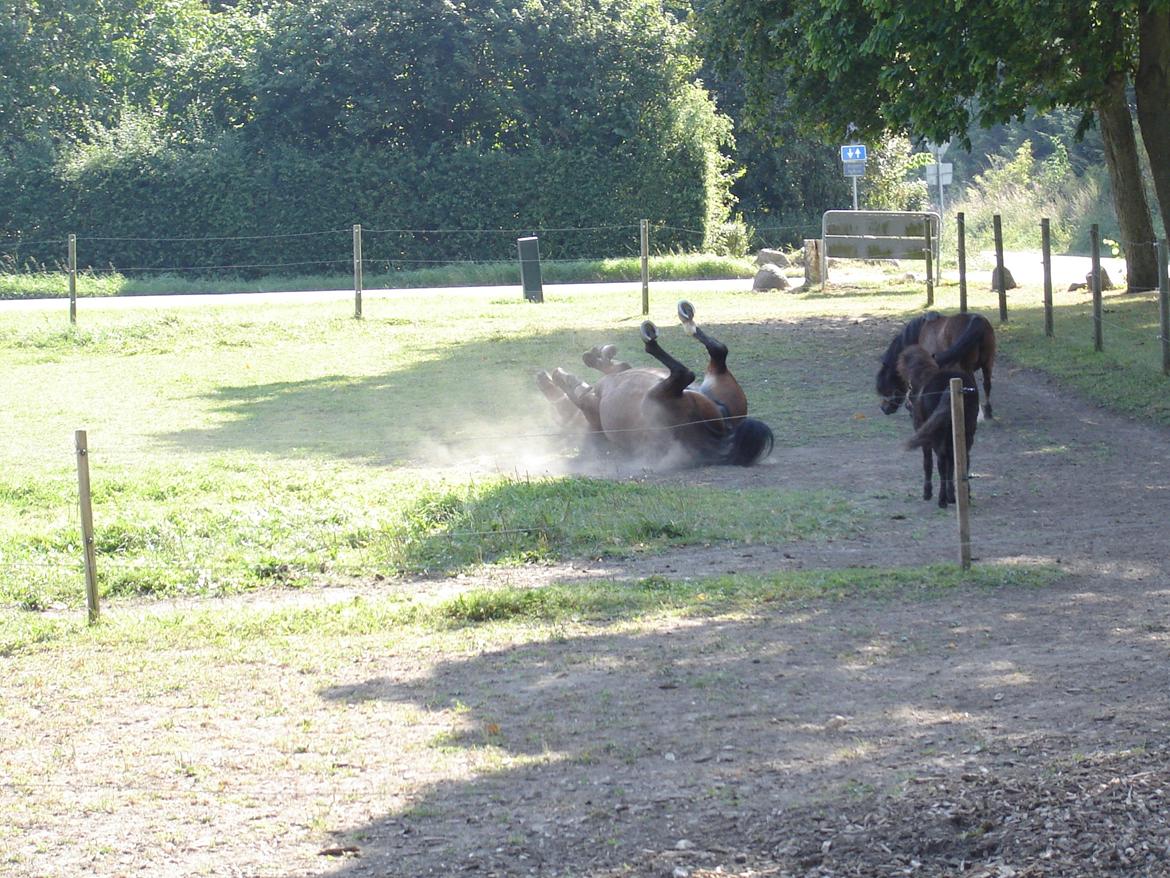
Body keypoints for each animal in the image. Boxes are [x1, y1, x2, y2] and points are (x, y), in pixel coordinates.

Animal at [538, 302, 776, 468]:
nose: (551, 374)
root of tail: (722, 436)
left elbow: (615, 367)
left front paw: (596, 357)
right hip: (681, 391)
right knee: (704, 361)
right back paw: (671, 328)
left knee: (695, 366)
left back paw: (670, 327)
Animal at [893, 344, 978, 508]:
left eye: (910, 386)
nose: (907, 404)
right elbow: (952, 465)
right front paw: (953, 495)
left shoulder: (925, 438)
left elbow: (928, 463)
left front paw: (928, 493)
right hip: (967, 433)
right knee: (963, 460)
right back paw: (965, 495)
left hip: (939, 437)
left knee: (941, 463)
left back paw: (942, 499)